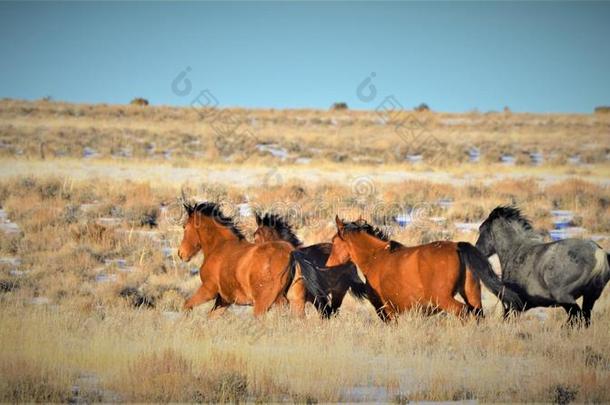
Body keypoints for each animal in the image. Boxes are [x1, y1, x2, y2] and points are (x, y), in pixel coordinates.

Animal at [177, 200, 324, 318]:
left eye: (185, 227)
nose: (181, 253)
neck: (220, 247)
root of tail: (291, 253)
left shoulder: (209, 290)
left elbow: (187, 305)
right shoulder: (224, 299)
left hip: (265, 303)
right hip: (295, 300)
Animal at [326, 216, 520, 320]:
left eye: (334, 241)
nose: (328, 265)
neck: (375, 257)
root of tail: (457, 247)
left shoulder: (386, 310)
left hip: (444, 299)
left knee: (464, 312)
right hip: (472, 295)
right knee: (477, 314)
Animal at [476, 205, 608, 326]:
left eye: (482, 228)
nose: (477, 249)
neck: (516, 251)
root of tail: (598, 254)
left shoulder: (512, 305)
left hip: (565, 298)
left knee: (576, 318)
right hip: (590, 297)